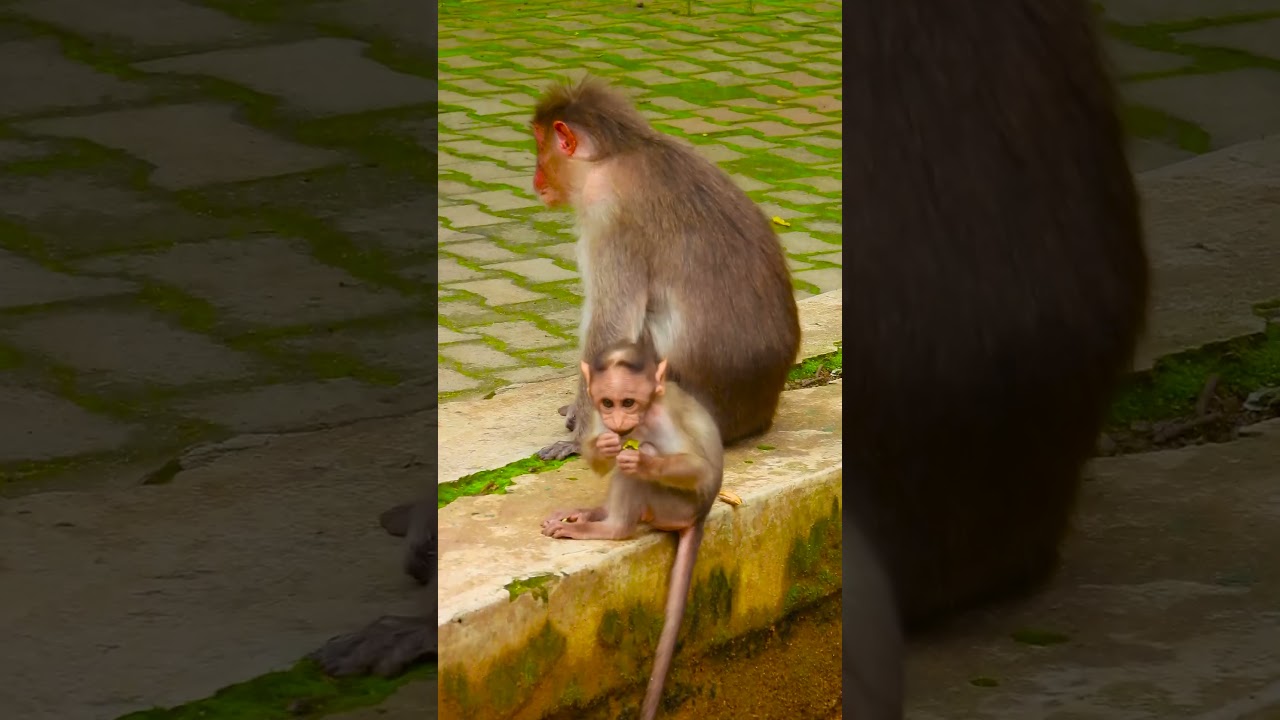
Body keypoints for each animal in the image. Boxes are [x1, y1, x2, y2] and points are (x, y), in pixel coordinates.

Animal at [528, 75, 800, 462]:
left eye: (540, 143)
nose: (535, 178)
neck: (613, 155)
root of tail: (760, 415)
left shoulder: (608, 215)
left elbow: (611, 326)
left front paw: (580, 438)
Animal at [541, 340, 722, 720]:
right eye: (607, 403)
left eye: (629, 402)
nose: (619, 420)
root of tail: (701, 514)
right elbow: (602, 454)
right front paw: (601, 445)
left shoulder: (659, 420)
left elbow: (695, 467)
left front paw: (639, 458)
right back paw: (590, 514)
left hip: (673, 507)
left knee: (641, 469)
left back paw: (610, 526)